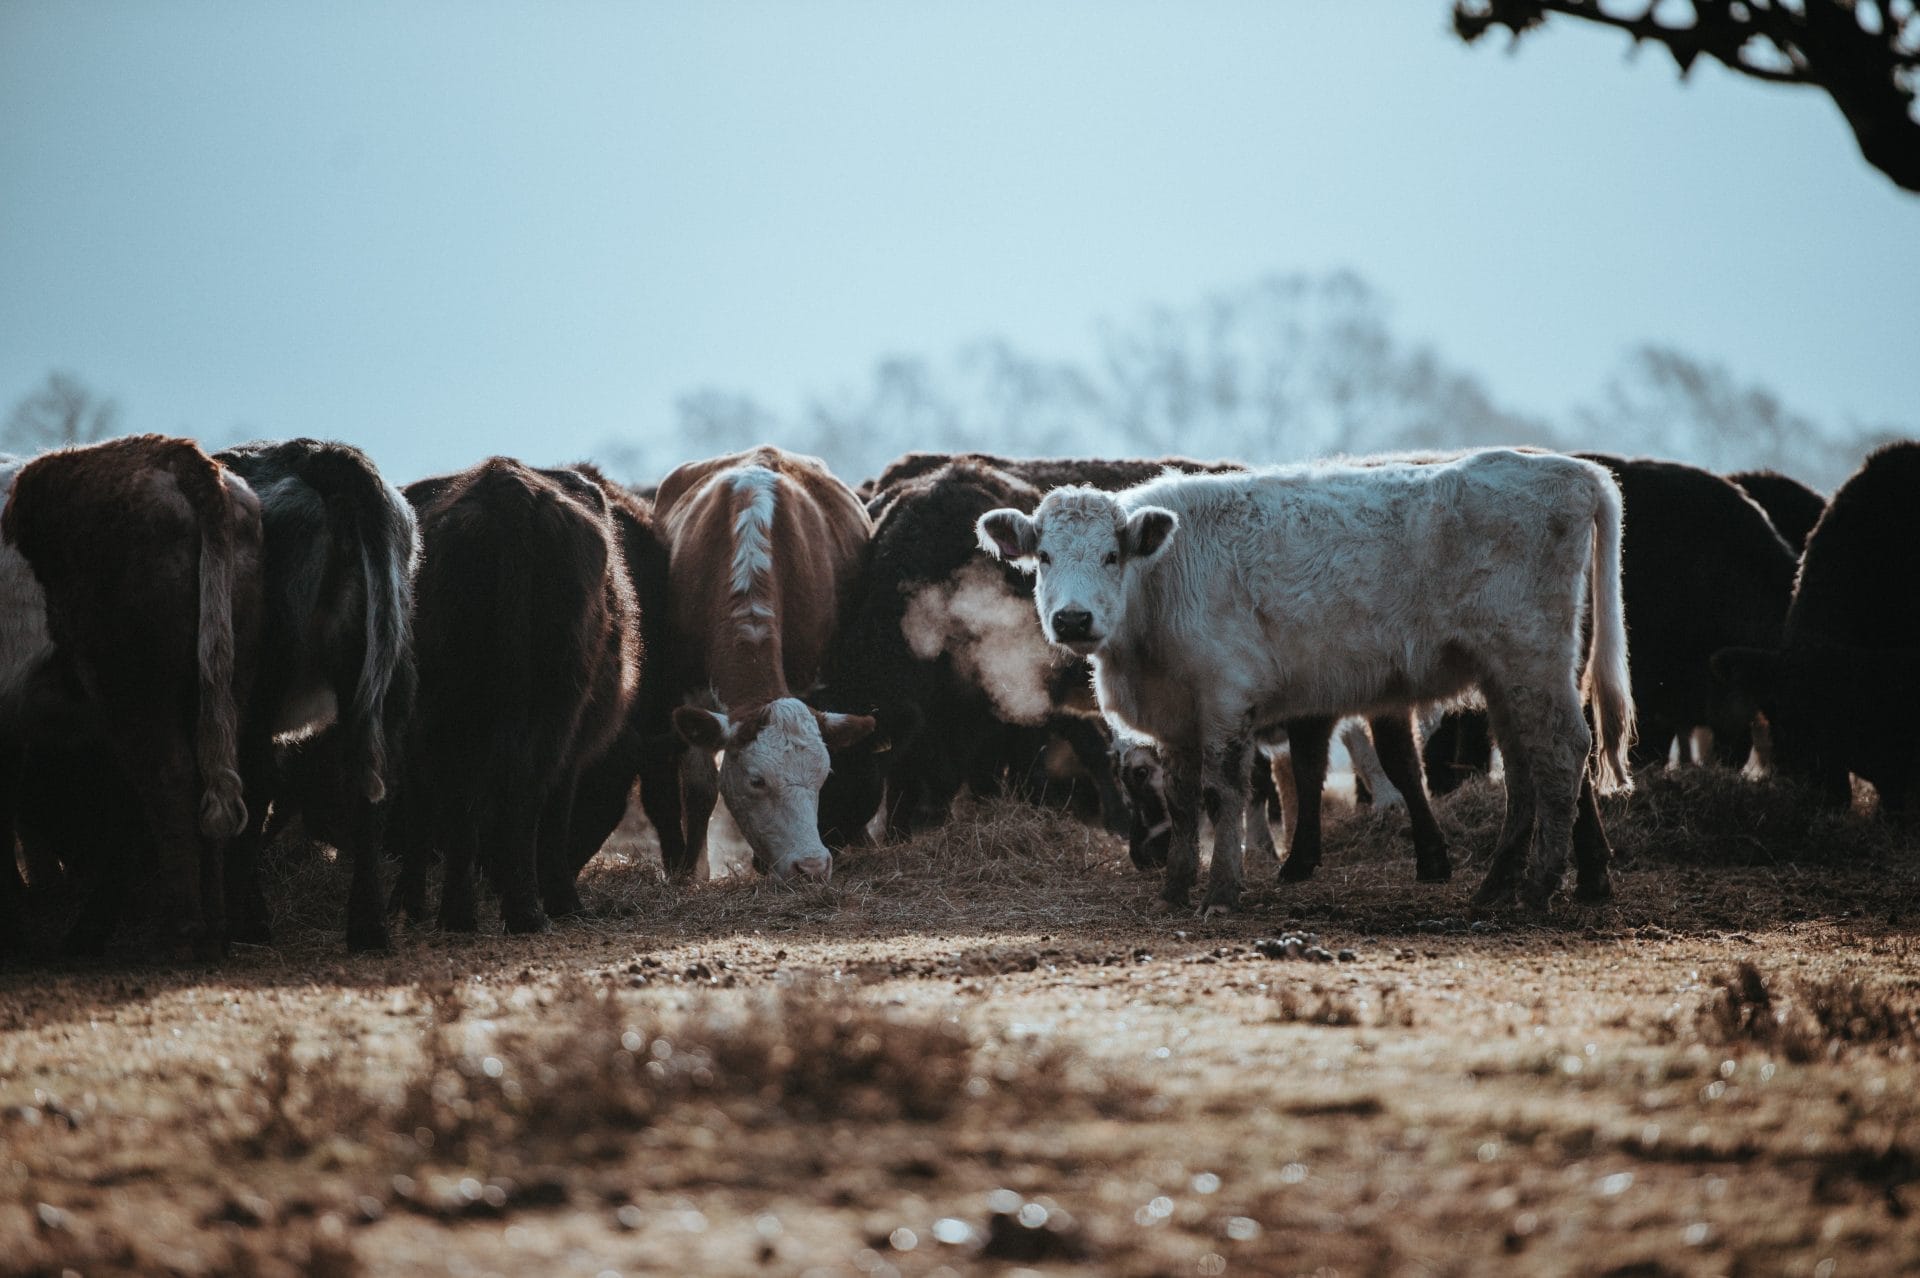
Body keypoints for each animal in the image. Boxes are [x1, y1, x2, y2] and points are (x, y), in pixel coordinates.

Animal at [1, 435, 263, 955]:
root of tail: (174, 456)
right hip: (223, 680)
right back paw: (214, 932)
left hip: (131, 683)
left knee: (167, 777)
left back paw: (179, 932)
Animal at [397, 458, 640, 933]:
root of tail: (508, 488)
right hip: (553, 703)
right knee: (523, 795)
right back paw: (528, 911)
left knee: (473, 798)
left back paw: (464, 914)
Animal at [655, 447, 875, 880]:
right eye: (757, 781)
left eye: (822, 777)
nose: (811, 866)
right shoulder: (689, 689)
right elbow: (700, 785)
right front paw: (692, 870)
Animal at [979, 448, 1633, 914]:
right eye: (1044, 558)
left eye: (1112, 556)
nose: (1073, 618)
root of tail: (1572, 470)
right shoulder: (1178, 716)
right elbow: (1186, 800)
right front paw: (1175, 889)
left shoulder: (1227, 698)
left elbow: (1225, 793)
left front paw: (1222, 893)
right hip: (1504, 675)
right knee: (1524, 766)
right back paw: (1496, 886)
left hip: (1533, 658)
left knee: (1563, 751)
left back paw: (1539, 889)